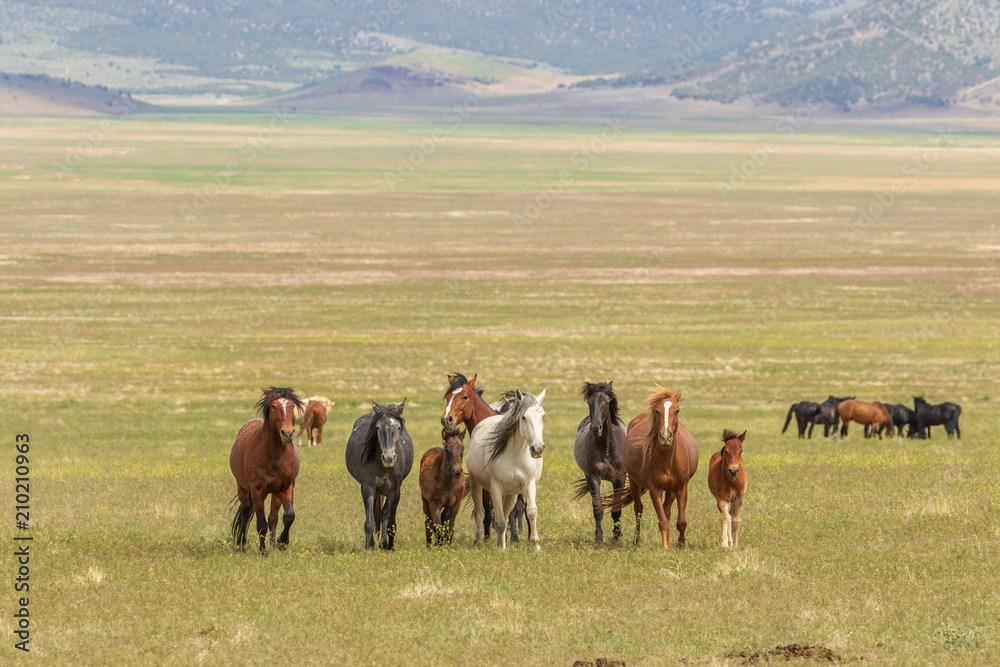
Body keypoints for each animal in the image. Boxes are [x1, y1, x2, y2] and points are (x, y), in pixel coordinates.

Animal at [229, 387, 305, 554]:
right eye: (274, 406)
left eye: (292, 406)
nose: (287, 433)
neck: (273, 456)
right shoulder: (257, 491)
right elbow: (261, 524)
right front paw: (262, 552)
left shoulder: (286, 487)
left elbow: (288, 517)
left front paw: (281, 542)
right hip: (242, 487)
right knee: (245, 512)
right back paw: (241, 544)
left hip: (276, 493)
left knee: (273, 518)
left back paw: (272, 545)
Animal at [345, 400, 414, 550]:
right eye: (377, 428)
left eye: (398, 427)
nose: (388, 458)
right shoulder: (368, 487)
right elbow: (369, 522)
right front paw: (368, 548)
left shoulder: (395, 491)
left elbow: (391, 522)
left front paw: (390, 547)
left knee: (384, 513)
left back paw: (383, 543)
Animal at [467, 388, 546, 550]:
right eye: (523, 417)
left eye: (543, 416)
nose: (537, 449)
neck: (516, 455)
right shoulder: (496, 487)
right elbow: (499, 521)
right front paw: (501, 549)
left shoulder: (529, 484)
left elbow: (531, 511)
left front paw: (535, 545)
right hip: (475, 484)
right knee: (479, 512)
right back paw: (478, 540)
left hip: (511, 494)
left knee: (506, 513)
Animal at [572, 381, 627, 542]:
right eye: (589, 402)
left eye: (607, 402)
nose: (596, 428)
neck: (606, 448)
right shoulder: (593, 477)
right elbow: (598, 508)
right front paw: (599, 537)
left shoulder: (620, 478)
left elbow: (616, 509)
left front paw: (617, 534)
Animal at [606, 387, 699, 550]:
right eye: (657, 411)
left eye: (677, 410)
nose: (665, 437)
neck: (668, 460)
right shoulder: (655, 489)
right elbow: (662, 521)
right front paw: (666, 547)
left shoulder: (681, 487)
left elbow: (680, 521)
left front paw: (681, 544)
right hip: (635, 484)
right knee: (638, 510)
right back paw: (636, 541)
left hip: (670, 489)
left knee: (667, 510)